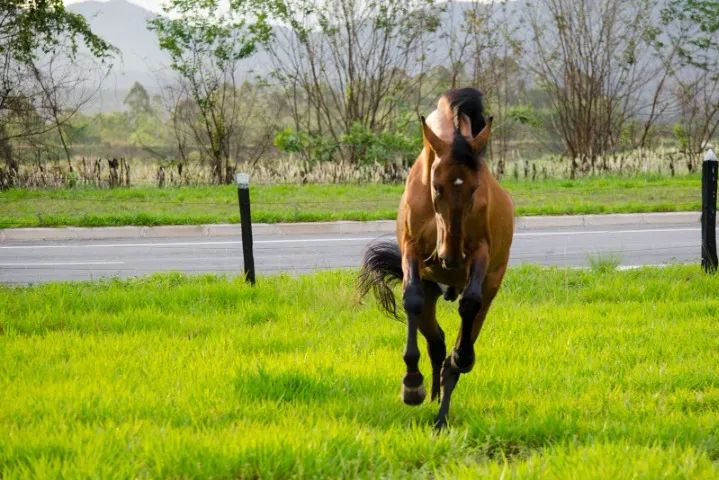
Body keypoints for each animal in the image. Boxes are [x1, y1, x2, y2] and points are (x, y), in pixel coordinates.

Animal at [359, 87, 514, 429]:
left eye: (475, 188)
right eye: (436, 186)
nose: (450, 257)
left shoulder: (480, 252)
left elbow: (470, 303)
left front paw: (461, 358)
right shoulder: (412, 251)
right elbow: (412, 299)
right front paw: (411, 384)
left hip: (491, 283)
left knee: (465, 326)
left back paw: (442, 412)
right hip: (432, 289)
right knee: (436, 338)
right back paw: (430, 393)